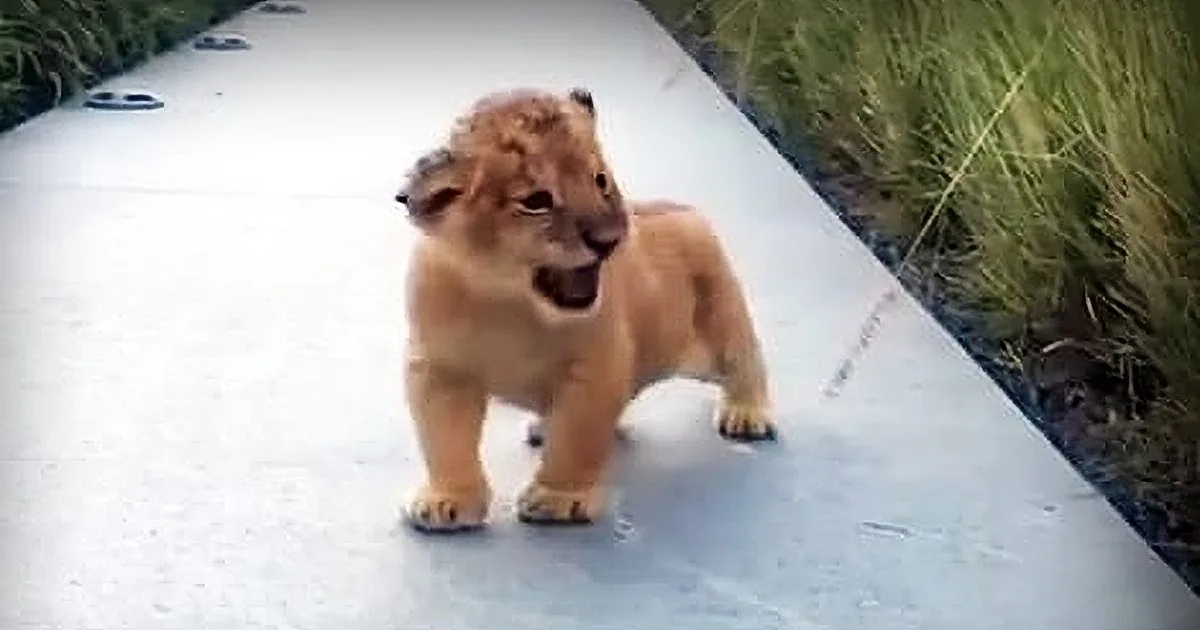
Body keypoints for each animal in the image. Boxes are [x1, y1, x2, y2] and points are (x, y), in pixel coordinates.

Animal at [394, 86, 775, 533]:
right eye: (536, 201)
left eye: (600, 180)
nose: (608, 239)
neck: (508, 300)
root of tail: (681, 208)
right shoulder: (440, 369)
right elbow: (446, 440)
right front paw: (447, 502)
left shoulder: (595, 368)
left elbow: (576, 438)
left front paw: (558, 500)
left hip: (719, 321)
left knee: (745, 363)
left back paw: (746, 415)